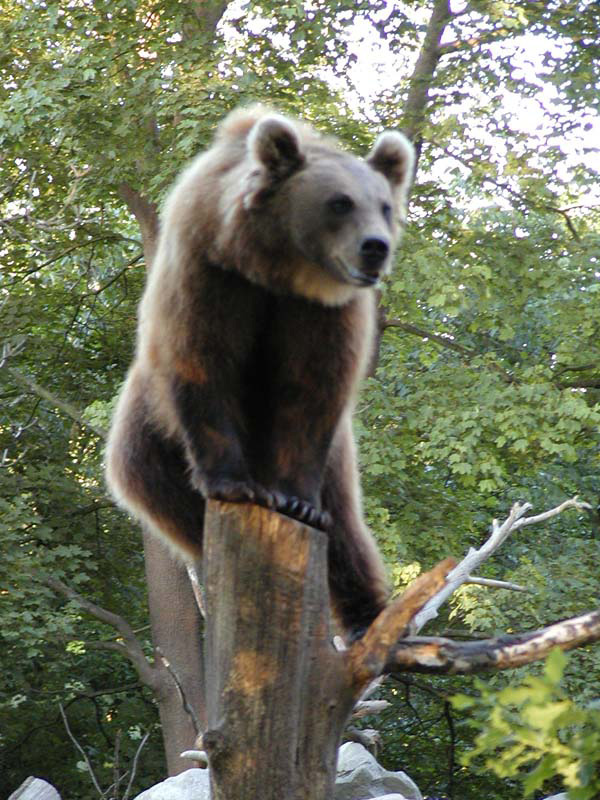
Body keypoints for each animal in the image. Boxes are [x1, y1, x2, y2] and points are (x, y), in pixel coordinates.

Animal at [105, 106, 414, 636]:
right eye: (340, 202)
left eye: (385, 206)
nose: (375, 247)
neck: (275, 270)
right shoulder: (208, 277)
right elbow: (205, 365)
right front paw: (233, 483)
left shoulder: (323, 315)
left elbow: (310, 395)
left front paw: (298, 501)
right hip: (146, 436)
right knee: (167, 495)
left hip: (338, 460)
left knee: (346, 525)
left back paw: (367, 616)